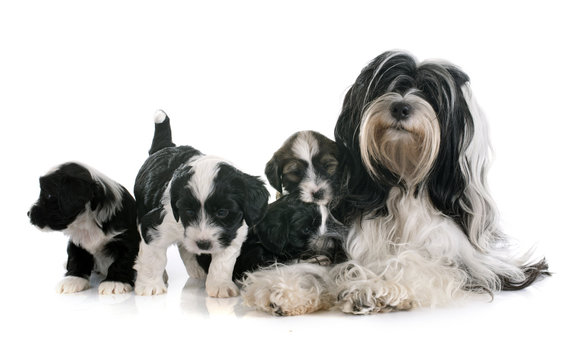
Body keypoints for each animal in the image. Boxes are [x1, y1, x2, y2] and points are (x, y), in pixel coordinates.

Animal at [27, 162, 141, 294]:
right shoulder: (77, 241)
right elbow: (77, 258)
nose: (28, 213)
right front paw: (73, 279)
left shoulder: (127, 239)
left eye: (49, 195)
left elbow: (123, 260)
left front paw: (115, 282)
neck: (86, 223)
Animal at [134, 109, 270, 298]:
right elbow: (153, 258)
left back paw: (196, 270)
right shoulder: (153, 224)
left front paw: (220, 285)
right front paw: (150, 286)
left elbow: (223, 261)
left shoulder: (232, 232)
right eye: (189, 212)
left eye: (222, 212)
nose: (203, 244)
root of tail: (165, 147)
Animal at [242, 50, 552, 316]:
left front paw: (374, 286)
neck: (405, 178)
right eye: (387, 87)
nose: (401, 107)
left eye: (429, 93)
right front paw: (286, 285)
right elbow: (324, 265)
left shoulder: (470, 263)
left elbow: (415, 262)